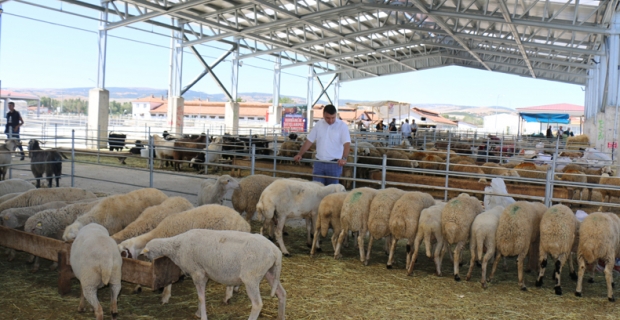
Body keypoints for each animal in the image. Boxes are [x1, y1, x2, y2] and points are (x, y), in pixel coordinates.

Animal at [143, 229, 286, 320]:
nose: (148, 262)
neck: (176, 246)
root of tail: (276, 251)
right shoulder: (204, 273)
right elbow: (200, 296)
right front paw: (199, 313)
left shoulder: (197, 273)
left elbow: (201, 297)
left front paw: (203, 316)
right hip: (269, 272)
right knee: (281, 293)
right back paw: (281, 317)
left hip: (251, 277)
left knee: (257, 304)